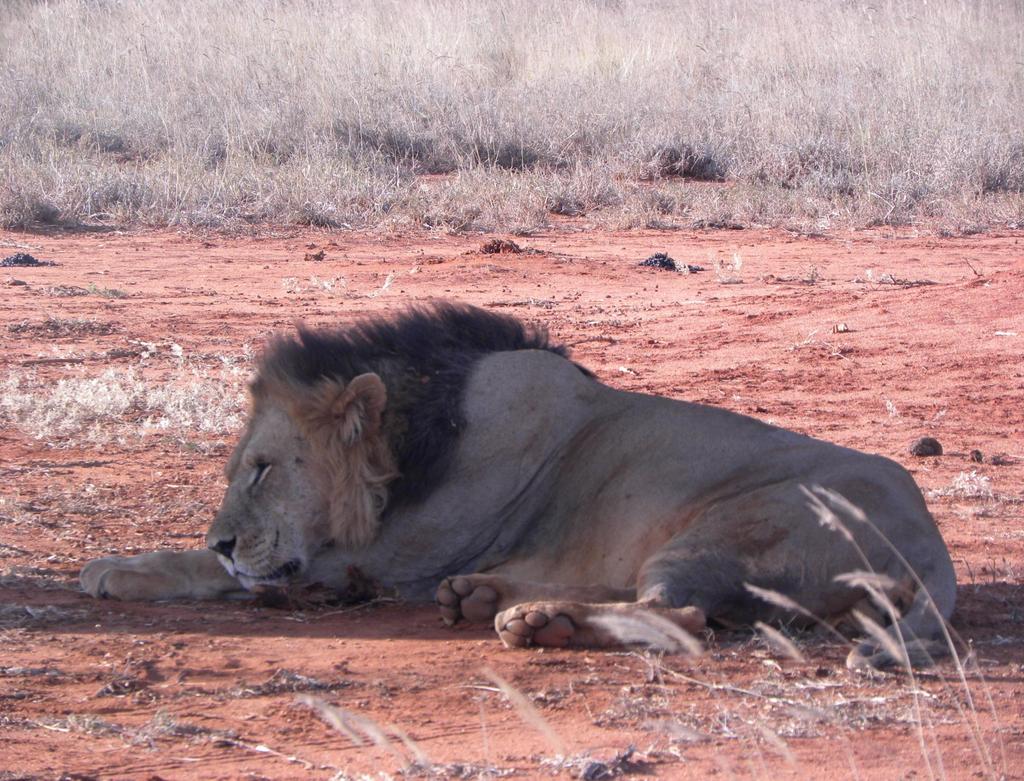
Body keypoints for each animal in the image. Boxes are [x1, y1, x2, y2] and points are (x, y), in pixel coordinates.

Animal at [83, 302, 954, 667]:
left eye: (263, 468)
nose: (225, 537)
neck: (408, 451)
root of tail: (930, 540)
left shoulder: (380, 564)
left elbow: (222, 572)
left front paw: (118, 566)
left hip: (721, 529)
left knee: (681, 617)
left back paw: (537, 621)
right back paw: (486, 596)